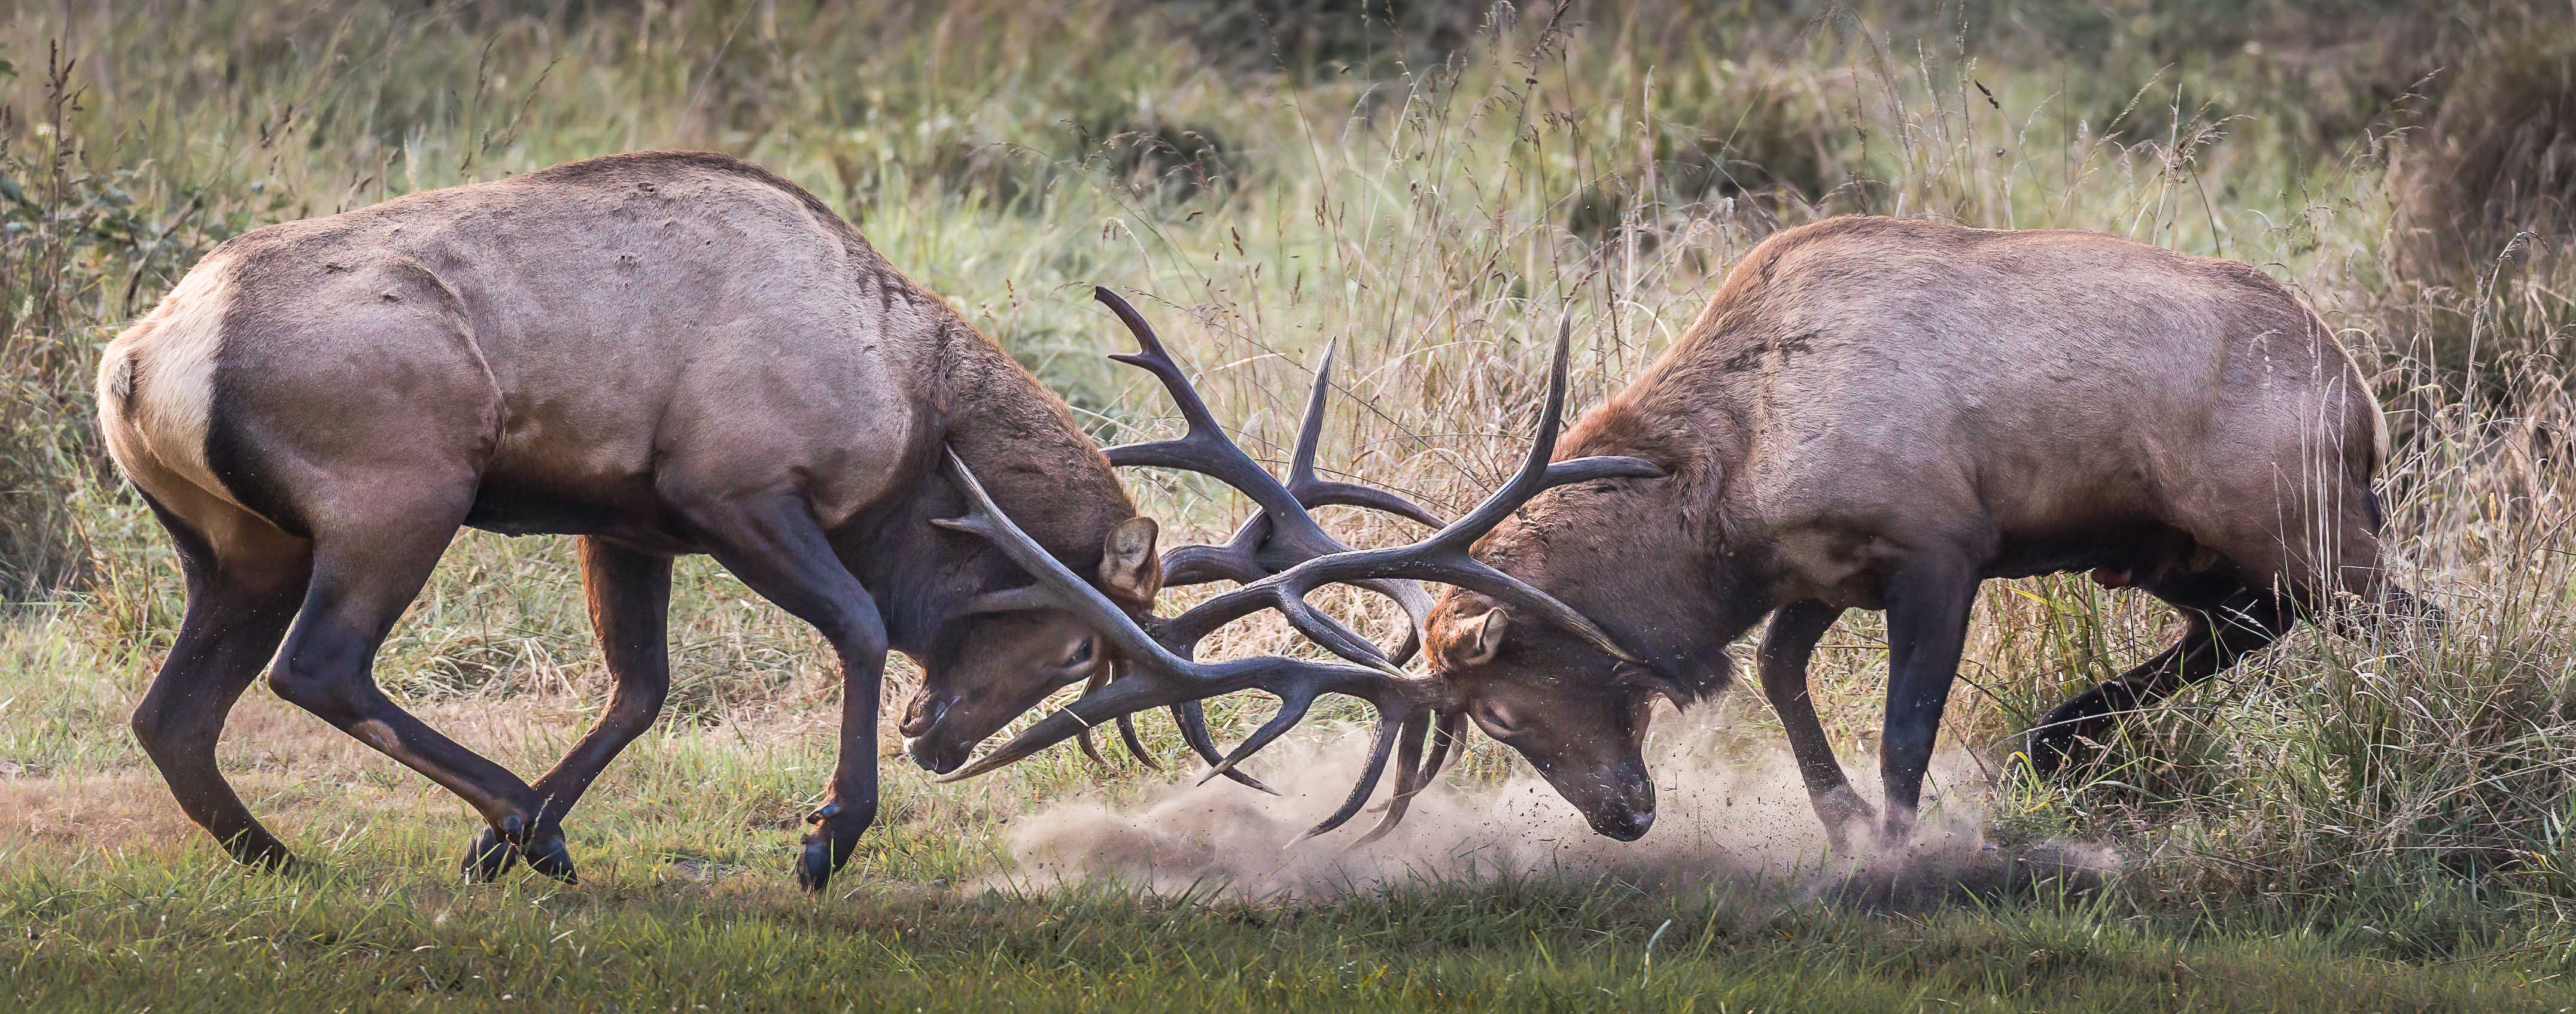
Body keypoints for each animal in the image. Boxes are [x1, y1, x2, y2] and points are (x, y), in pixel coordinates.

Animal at [92, 149, 1445, 892]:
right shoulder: (731, 486)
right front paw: (829, 834)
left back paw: (299, 854)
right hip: (400, 491)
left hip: (240, 544)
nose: (937, 739)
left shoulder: (628, 523)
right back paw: (517, 824)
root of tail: (136, 361)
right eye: (1073, 646)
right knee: (316, 667)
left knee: (172, 712)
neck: (908, 415)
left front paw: (502, 846)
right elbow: (856, 621)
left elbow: (639, 690)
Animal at [936, 215, 2431, 854]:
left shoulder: (1939, 541)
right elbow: (1777, 674)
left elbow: (1902, 727)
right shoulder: (1813, 572)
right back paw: (2067, 735)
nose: (1622, 817)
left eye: (1496, 708)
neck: (1726, 486)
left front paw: (1897, 853)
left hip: (2299, 518)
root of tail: (2358, 390)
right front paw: (1839, 821)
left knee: (2403, 619)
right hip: (2184, 552)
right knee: (2249, 621)